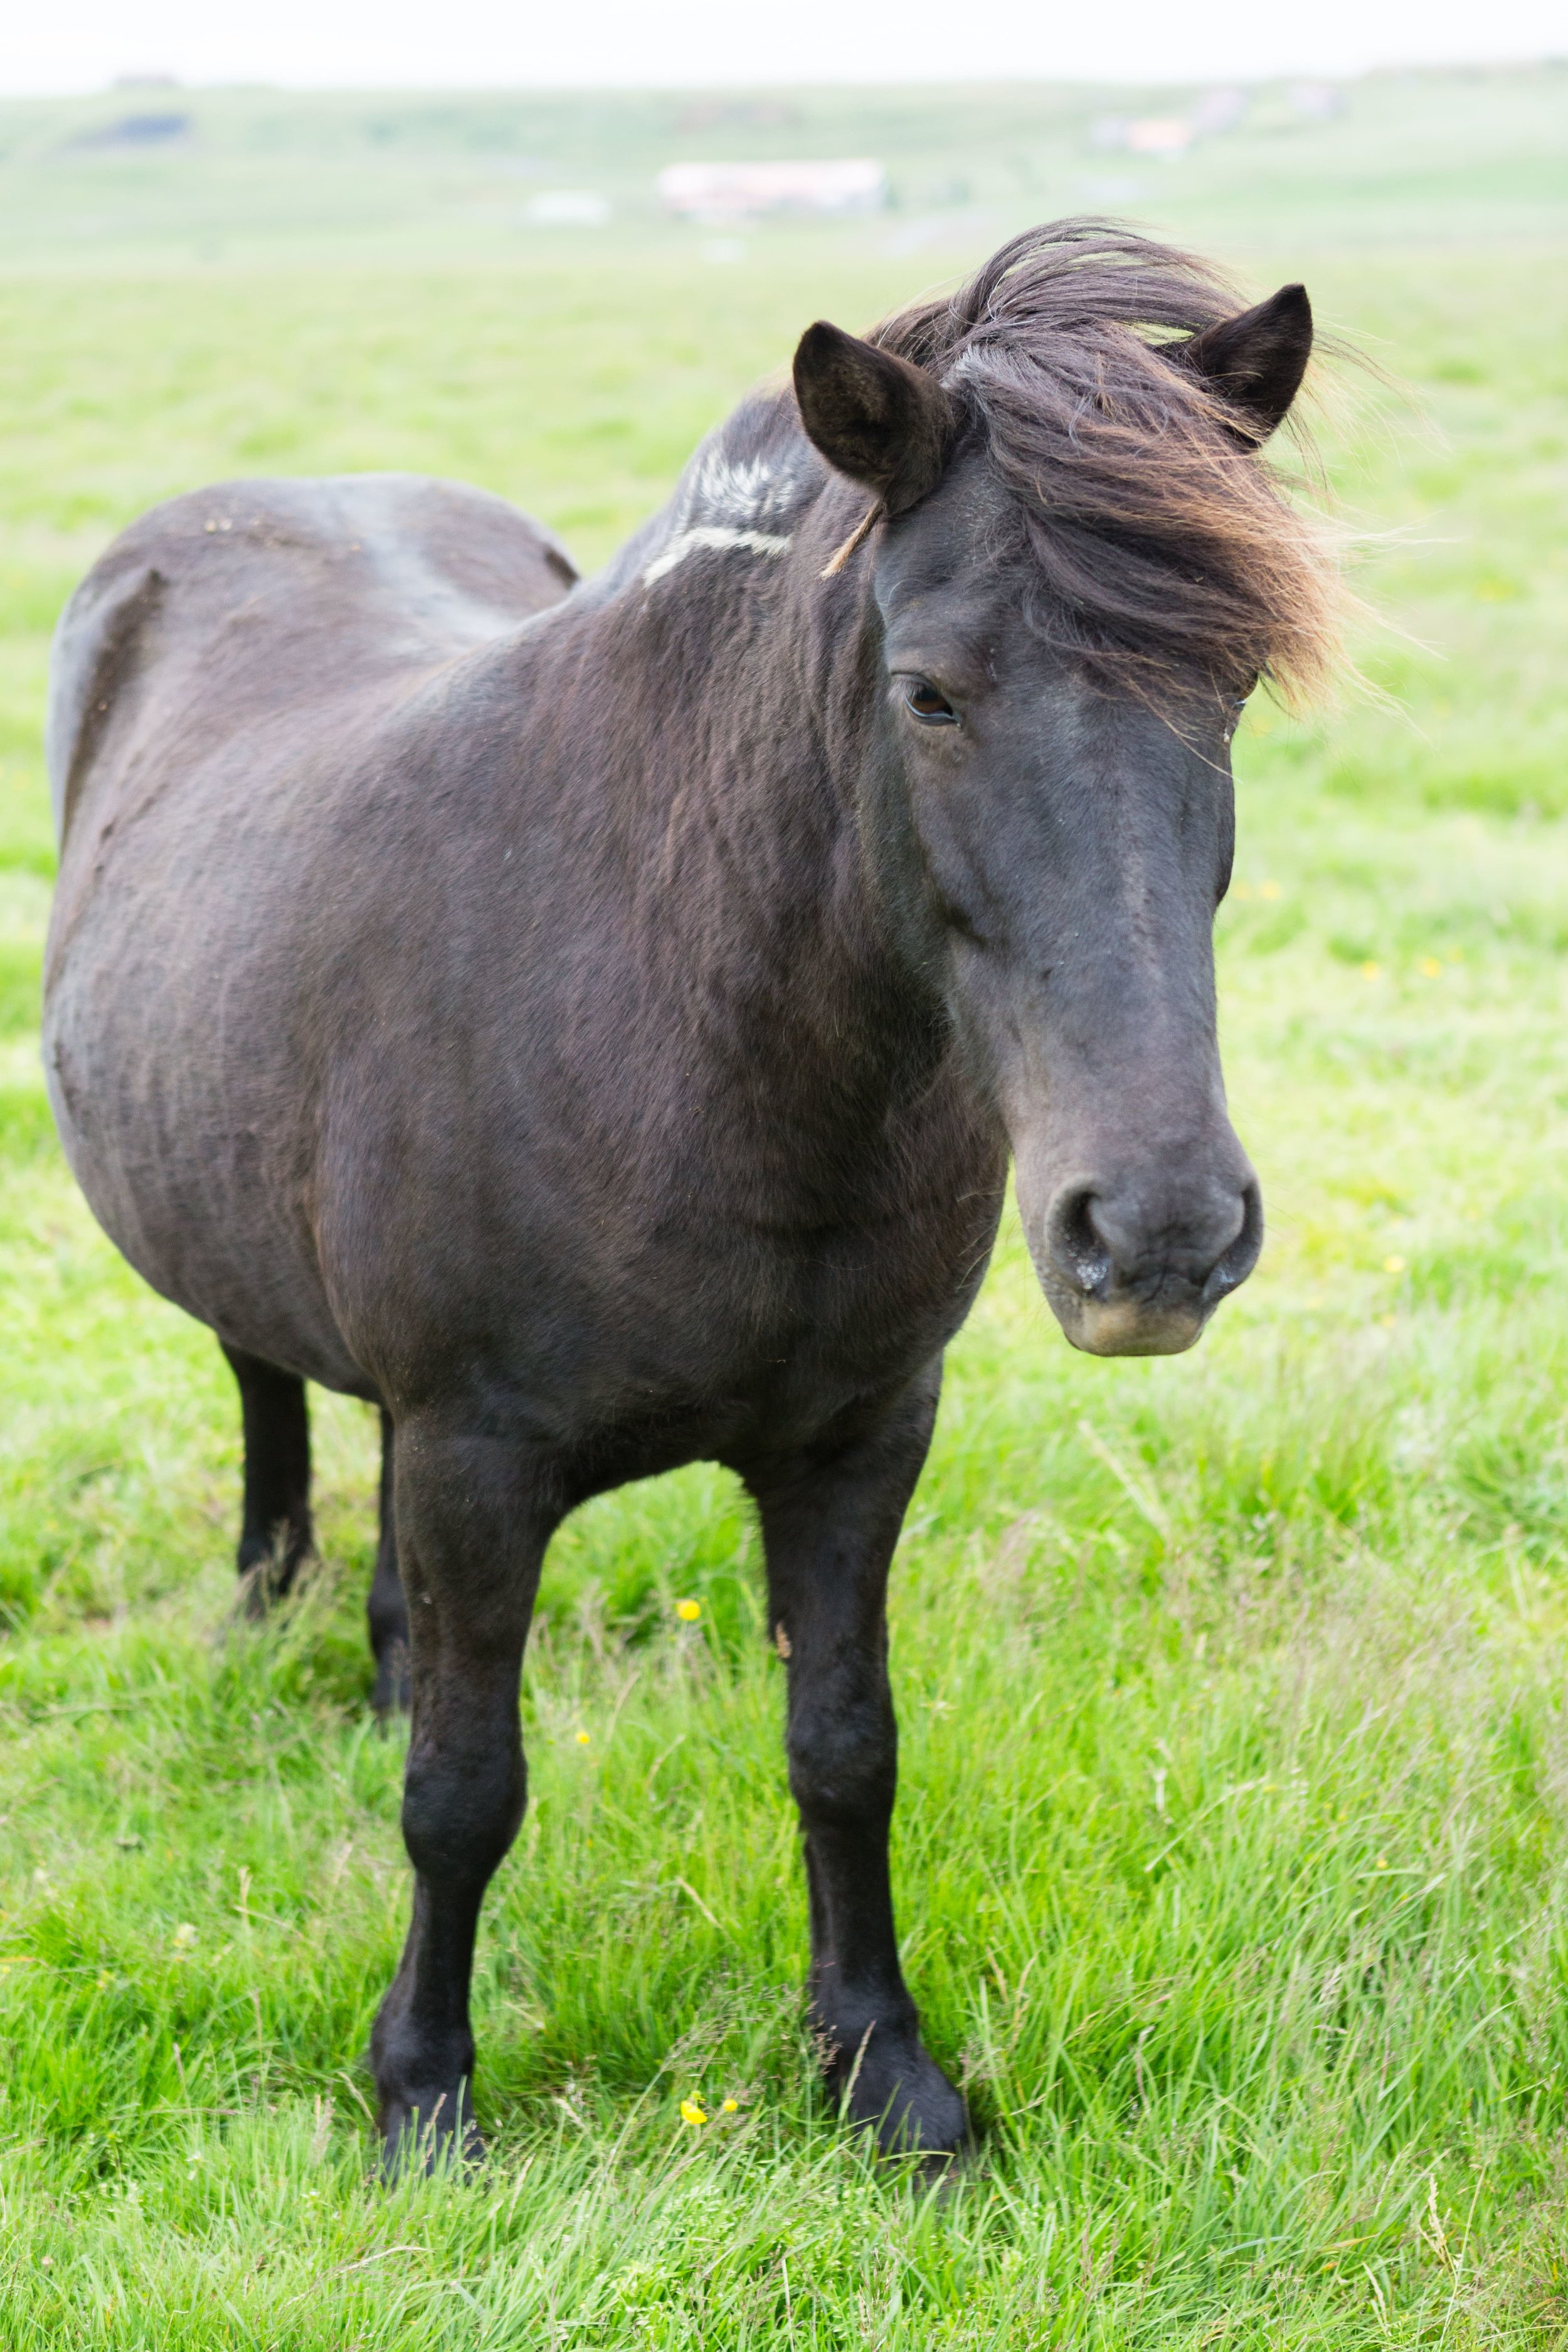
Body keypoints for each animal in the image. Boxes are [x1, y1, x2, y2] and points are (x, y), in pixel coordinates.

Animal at [43, 225, 1335, 2164]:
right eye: (929, 691)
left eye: (1230, 687)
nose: (1158, 1231)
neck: (685, 1012)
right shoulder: (481, 1453)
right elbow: (465, 1788)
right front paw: (423, 2087)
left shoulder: (861, 1436)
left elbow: (845, 1746)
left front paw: (880, 2069)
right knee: (263, 1378)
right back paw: (268, 1605)